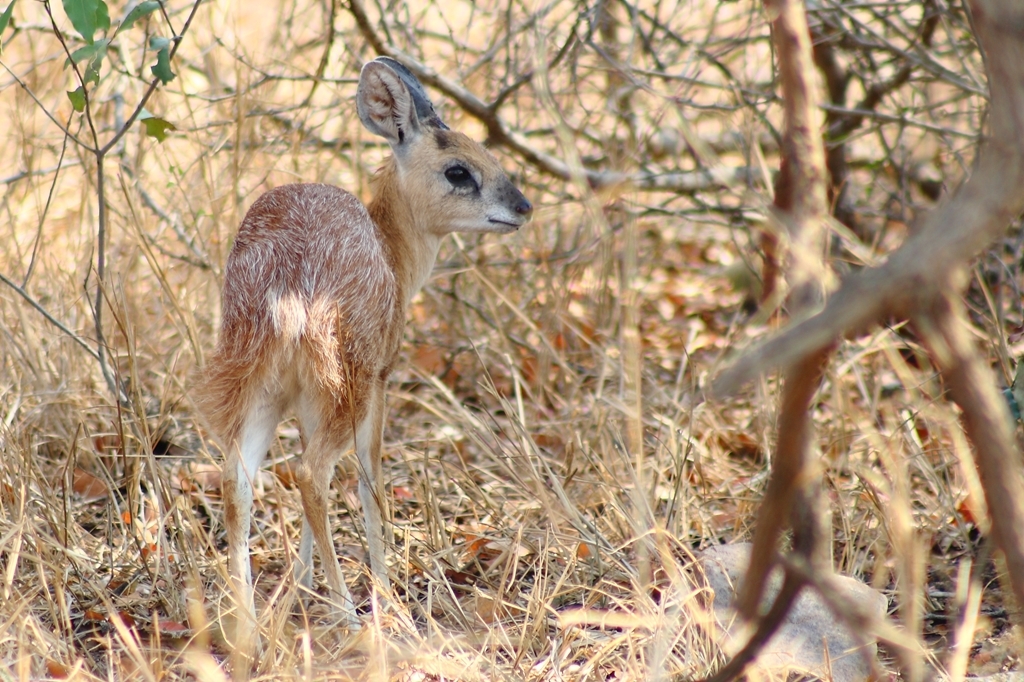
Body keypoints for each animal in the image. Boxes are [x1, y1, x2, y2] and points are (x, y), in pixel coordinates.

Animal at [195, 57, 532, 663]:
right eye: (458, 169)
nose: (522, 207)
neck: (393, 253)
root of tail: (286, 285)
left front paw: (302, 586)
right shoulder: (379, 380)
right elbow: (372, 483)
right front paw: (383, 591)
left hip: (261, 390)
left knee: (241, 478)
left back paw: (249, 633)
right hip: (344, 388)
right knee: (311, 473)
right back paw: (350, 619)